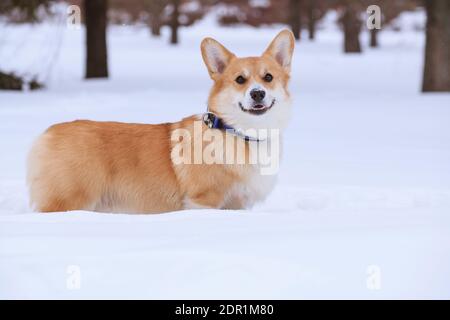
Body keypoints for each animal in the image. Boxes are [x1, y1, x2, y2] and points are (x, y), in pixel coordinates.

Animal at [28, 30, 296, 214]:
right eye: (240, 80)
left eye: (268, 77)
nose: (257, 93)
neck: (242, 134)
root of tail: (47, 133)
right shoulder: (203, 200)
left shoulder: (237, 205)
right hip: (70, 200)